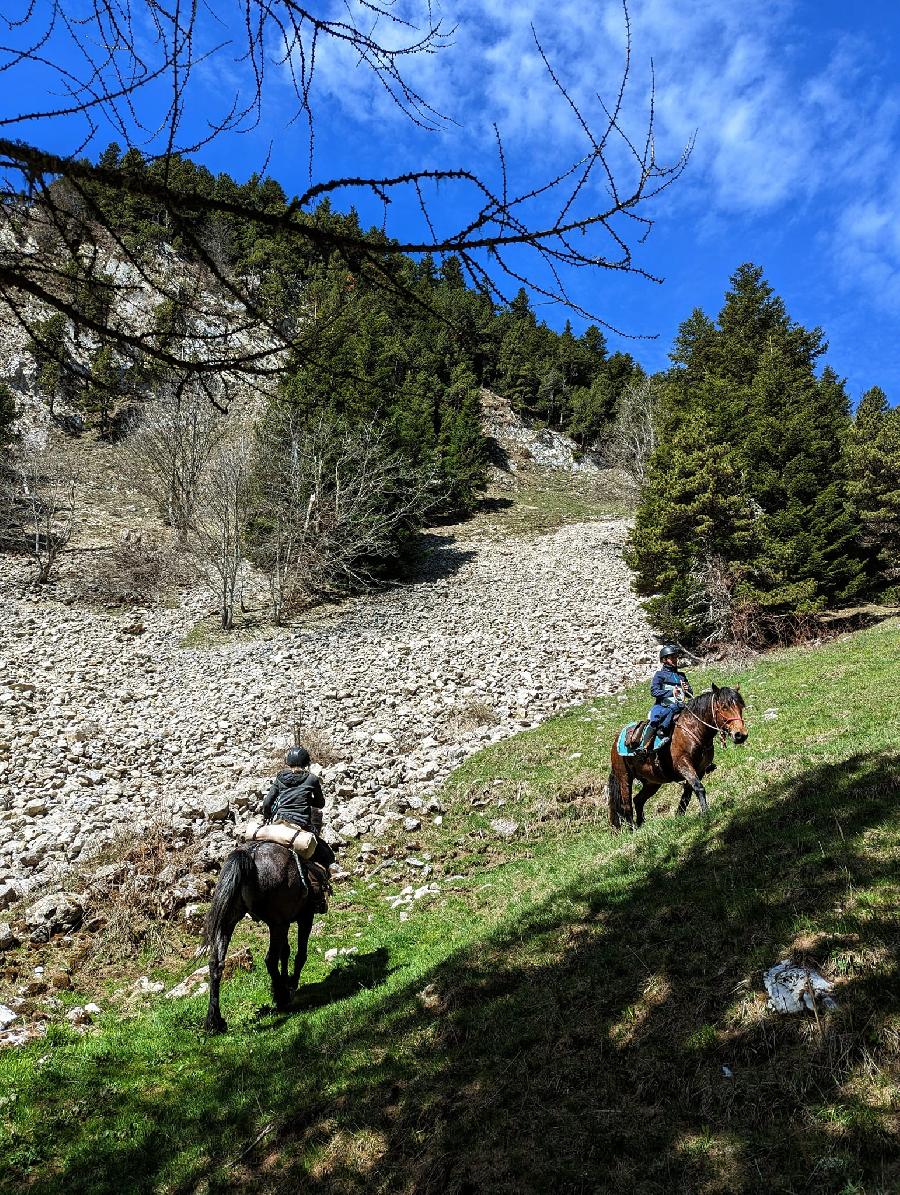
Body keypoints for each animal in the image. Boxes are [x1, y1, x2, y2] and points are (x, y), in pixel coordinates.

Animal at [205, 841, 317, 1037]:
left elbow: (285, 952)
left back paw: (214, 1022)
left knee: (216, 963)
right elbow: (299, 954)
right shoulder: (304, 917)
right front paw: (290, 984)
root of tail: (249, 854)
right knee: (270, 959)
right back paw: (282, 998)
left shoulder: (285, 922)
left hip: (229, 921)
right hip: (277, 923)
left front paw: (283, 982)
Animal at [607, 683, 745, 831]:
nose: (740, 735)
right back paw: (634, 828)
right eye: (724, 707)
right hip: (624, 776)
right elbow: (698, 788)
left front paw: (680, 815)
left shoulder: (700, 770)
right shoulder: (683, 764)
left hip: (652, 782)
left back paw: (641, 824)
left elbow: (688, 792)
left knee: (638, 800)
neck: (693, 729)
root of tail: (616, 742)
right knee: (627, 804)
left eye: (741, 706)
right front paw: (706, 813)